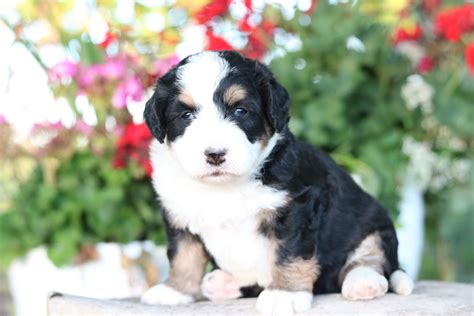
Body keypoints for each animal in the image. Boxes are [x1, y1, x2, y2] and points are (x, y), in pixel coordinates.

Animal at [140, 50, 412, 314]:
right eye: (186, 115)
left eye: (240, 111)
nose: (215, 154)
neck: (225, 187)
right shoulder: (178, 214)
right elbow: (184, 255)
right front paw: (175, 290)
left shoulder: (295, 209)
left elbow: (288, 253)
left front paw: (285, 294)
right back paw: (223, 284)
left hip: (374, 224)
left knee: (370, 261)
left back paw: (364, 283)